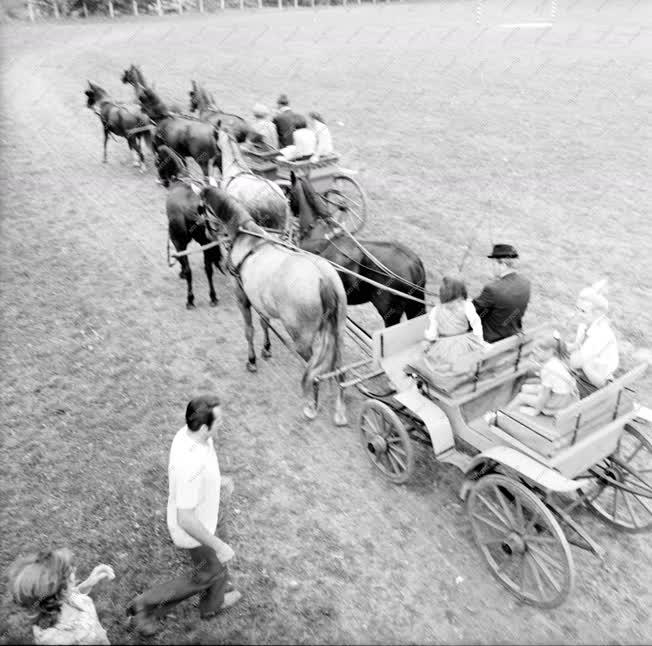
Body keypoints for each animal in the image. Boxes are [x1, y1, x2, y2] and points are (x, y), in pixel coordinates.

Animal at [156, 148, 224, 310]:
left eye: (157, 161)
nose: (161, 180)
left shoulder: (177, 241)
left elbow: (182, 261)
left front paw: (181, 272)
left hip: (178, 239)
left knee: (189, 270)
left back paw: (190, 299)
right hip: (205, 242)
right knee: (208, 269)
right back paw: (213, 297)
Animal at [201, 185, 348, 428]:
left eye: (201, 208)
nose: (205, 232)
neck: (247, 237)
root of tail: (322, 279)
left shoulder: (242, 297)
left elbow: (249, 330)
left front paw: (252, 360)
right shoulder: (260, 301)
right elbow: (264, 323)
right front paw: (267, 348)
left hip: (302, 339)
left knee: (314, 372)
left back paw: (312, 406)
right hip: (338, 331)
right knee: (339, 368)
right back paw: (339, 409)